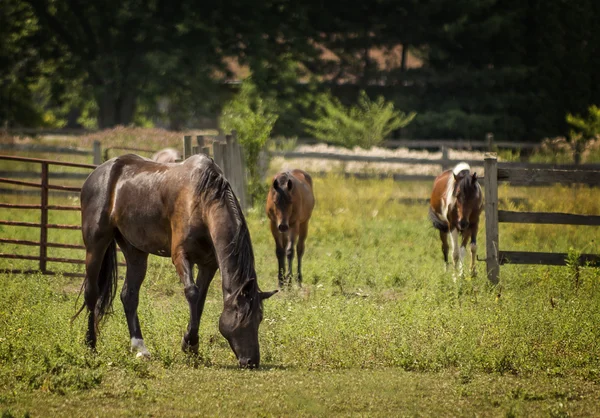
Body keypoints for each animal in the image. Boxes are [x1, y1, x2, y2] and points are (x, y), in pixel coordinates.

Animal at [75, 153, 278, 366]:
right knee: (91, 293)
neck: (203, 200)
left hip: (135, 252)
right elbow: (192, 293)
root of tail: (97, 174)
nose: (252, 361)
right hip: (96, 245)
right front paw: (191, 344)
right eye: (242, 317)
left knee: (129, 296)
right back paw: (90, 345)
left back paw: (140, 348)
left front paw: (190, 345)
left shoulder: (208, 264)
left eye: (260, 318)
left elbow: (200, 300)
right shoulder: (181, 256)